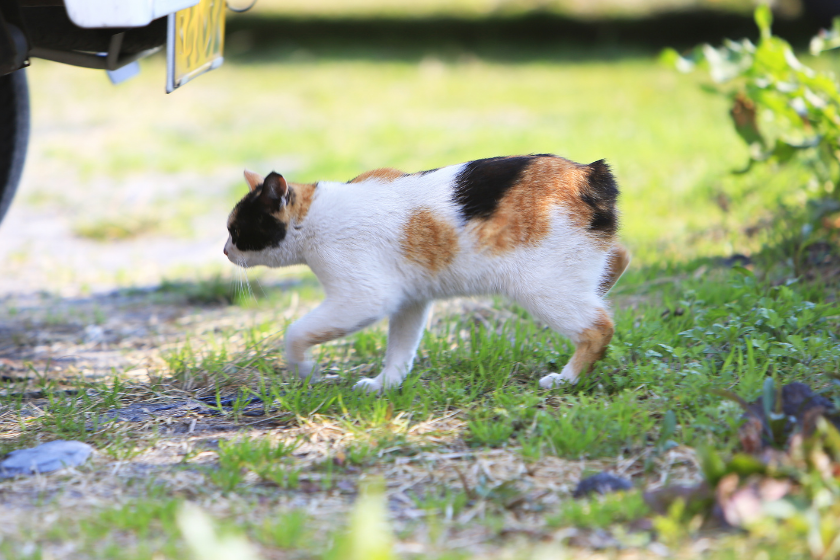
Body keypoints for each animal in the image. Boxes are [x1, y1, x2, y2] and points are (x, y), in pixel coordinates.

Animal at [223, 152, 632, 390]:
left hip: (542, 287)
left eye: (236, 231)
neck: (313, 216)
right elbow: (400, 350)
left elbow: (295, 332)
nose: (225, 250)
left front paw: (303, 368)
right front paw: (385, 385)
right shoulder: (410, 300)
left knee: (598, 328)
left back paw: (566, 378)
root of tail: (589, 174)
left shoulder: (364, 297)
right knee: (619, 259)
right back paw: (602, 287)